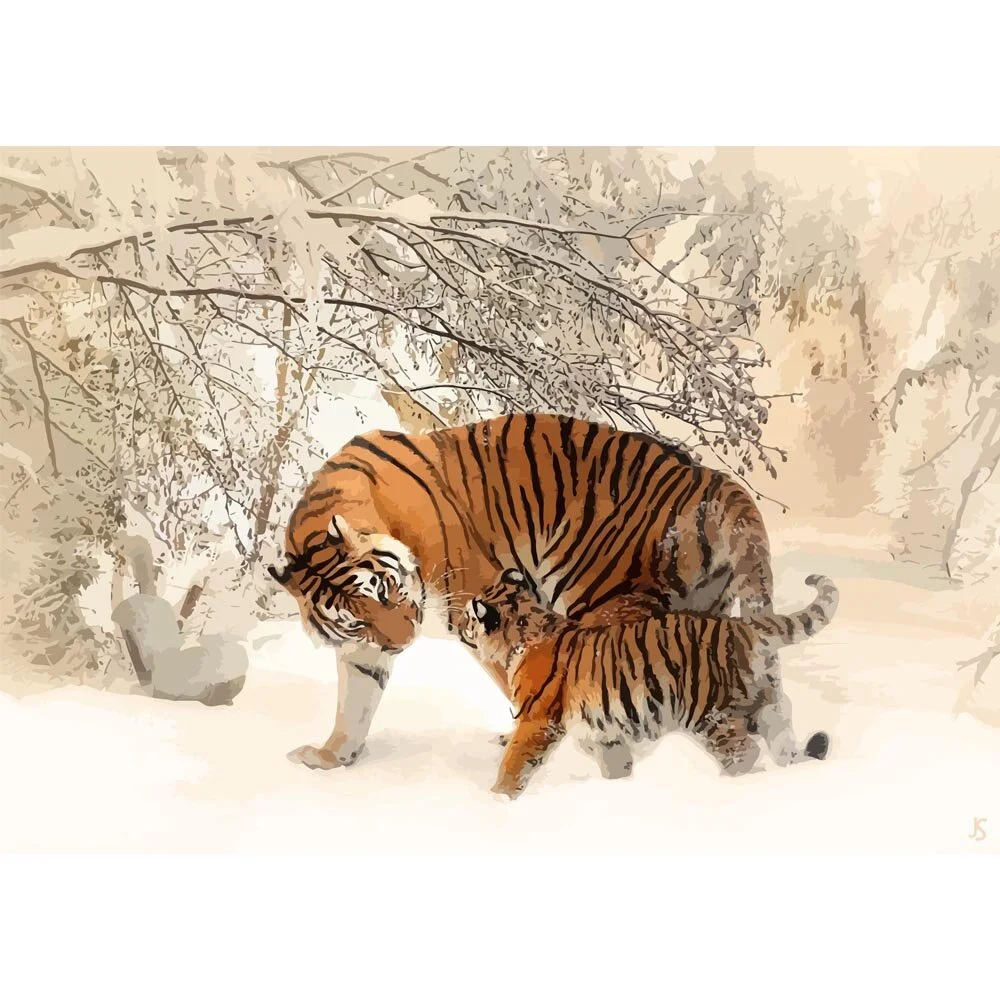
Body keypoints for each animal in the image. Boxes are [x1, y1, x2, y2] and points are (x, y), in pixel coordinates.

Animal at [269, 412, 775, 772]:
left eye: (387, 590)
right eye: (356, 620)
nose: (403, 642)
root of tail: (713, 479)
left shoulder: (480, 605)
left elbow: (519, 681)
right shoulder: (363, 648)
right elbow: (355, 701)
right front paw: (331, 758)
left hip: (602, 599)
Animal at [459, 567, 838, 799]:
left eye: (467, 616)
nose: (459, 627)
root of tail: (746, 626)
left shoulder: (537, 721)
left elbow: (514, 763)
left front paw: (497, 800)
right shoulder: (604, 732)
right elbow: (616, 764)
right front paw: (618, 789)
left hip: (710, 714)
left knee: (746, 753)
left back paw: (726, 787)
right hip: (768, 703)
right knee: (785, 744)